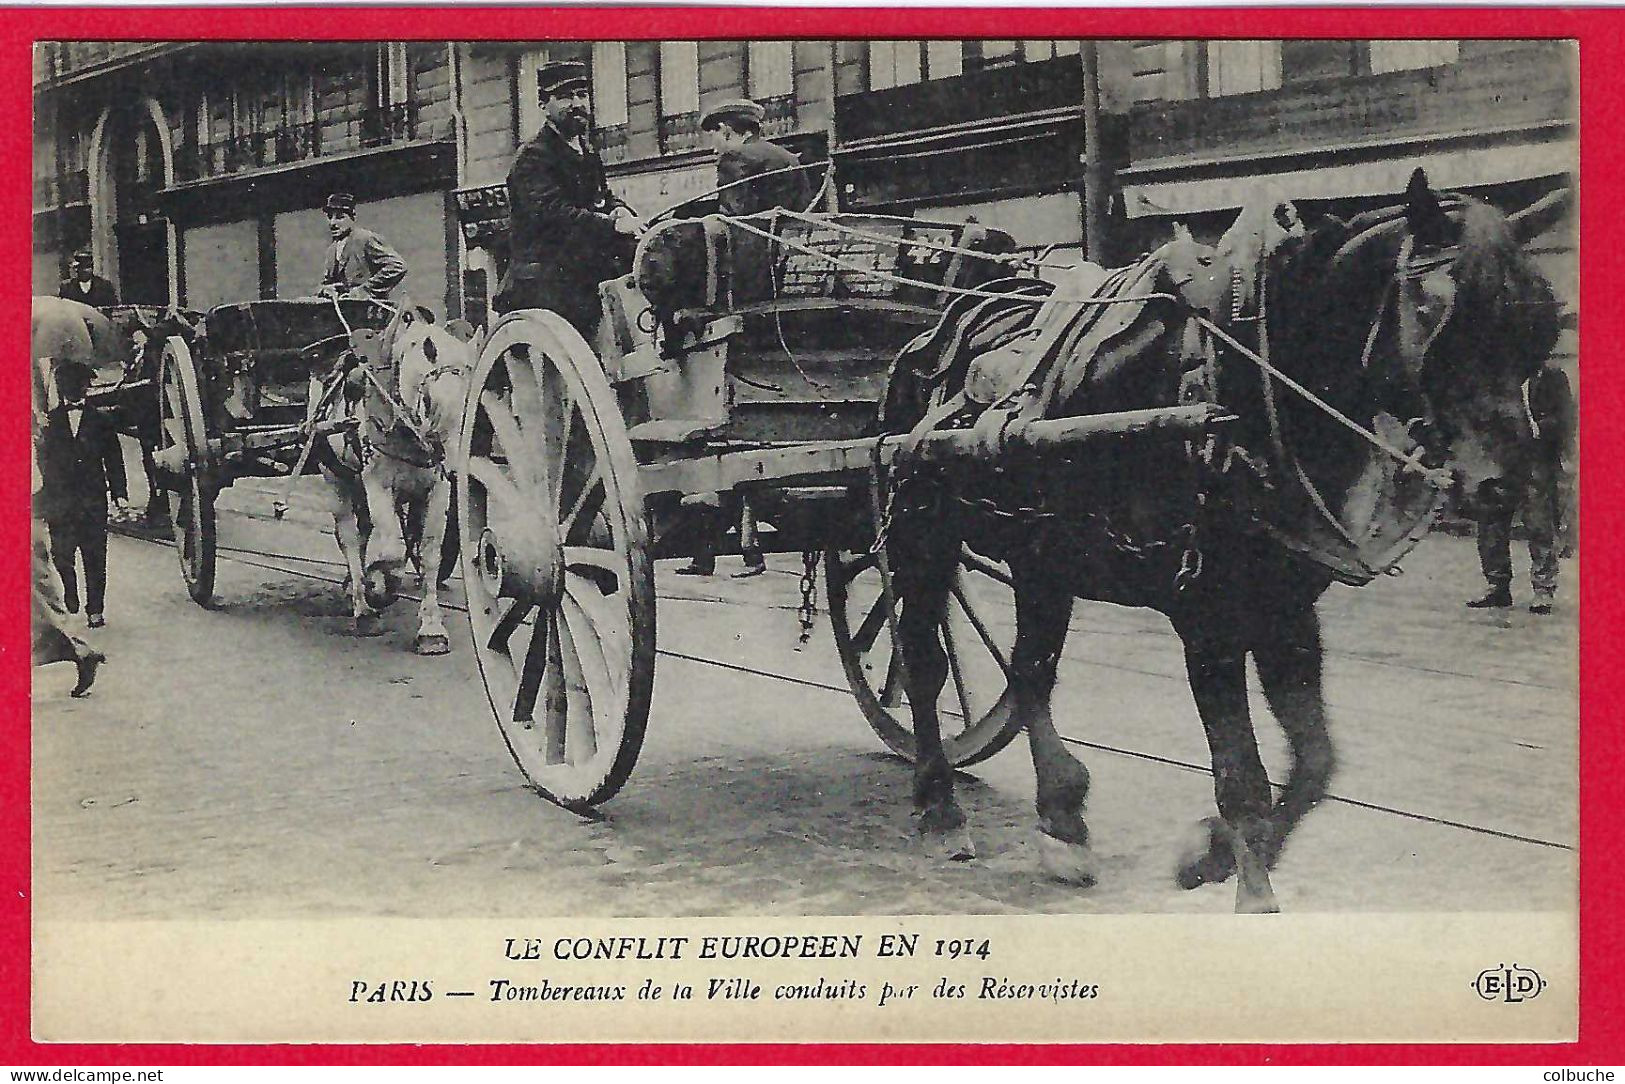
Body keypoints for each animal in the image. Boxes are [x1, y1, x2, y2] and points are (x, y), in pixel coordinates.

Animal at [315, 303, 471, 653]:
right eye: (430, 401)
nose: (455, 469)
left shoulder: (435, 489)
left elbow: (428, 554)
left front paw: (431, 628)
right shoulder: (377, 483)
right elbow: (391, 551)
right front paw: (379, 586)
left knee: (363, 533)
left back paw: (354, 586)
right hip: (338, 481)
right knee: (349, 537)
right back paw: (362, 605)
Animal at [884, 171, 1566, 916]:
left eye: (1538, 325)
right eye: (1439, 313)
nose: (1507, 484)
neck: (1251, 376)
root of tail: (941, 329)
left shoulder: (1285, 607)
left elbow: (1315, 763)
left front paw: (1209, 856)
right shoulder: (1205, 615)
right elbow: (1241, 772)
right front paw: (1251, 893)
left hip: (1043, 557)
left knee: (1030, 669)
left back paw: (1062, 818)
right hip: (922, 536)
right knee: (923, 661)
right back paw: (940, 807)